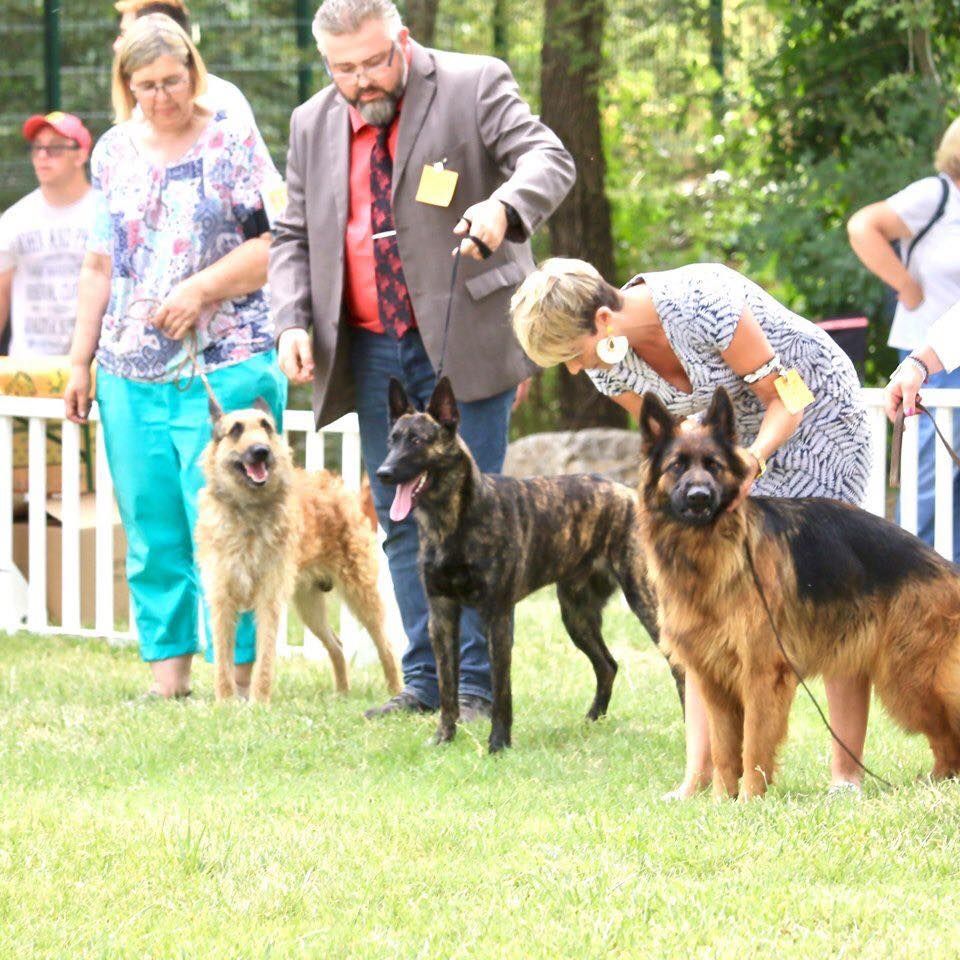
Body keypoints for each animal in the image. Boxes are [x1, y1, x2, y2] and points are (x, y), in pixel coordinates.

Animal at [376, 378, 684, 752]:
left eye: (418, 440)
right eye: (392, 439)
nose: (382, 473)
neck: (452, 522)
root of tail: (628, 493)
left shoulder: (497, 616)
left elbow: (501, 689)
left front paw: (498, 744)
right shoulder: (442, 615)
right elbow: (447, 688)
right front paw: (443, 738)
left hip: (644, 602)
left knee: (679, 667)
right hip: (576, 615)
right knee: (608, 665)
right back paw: (593, 720)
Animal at [636, 386, 960, 800]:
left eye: (713, 465)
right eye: (677, 466)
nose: (699, 497)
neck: (709, 554)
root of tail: (948, 568)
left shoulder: (762, 674)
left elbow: (753, 745)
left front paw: (749, 800)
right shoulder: (713, 679)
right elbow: (724, 749)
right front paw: (721, 800)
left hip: (911, 680)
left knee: (949, 732)